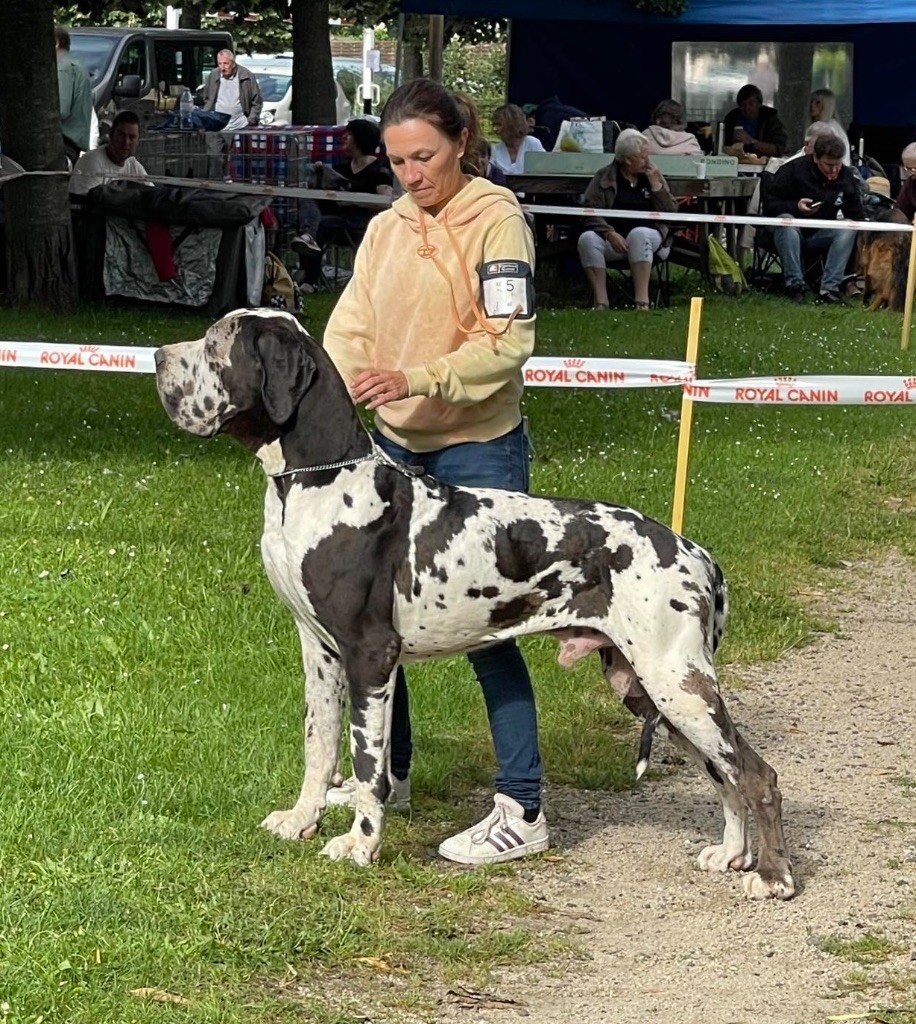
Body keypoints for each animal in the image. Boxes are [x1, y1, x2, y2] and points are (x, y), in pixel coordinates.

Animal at [155, 307, 794, 901]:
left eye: (217, 342)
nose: (159, 356)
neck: (317, 480)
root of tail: (699, 554)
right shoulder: (319, 650)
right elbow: (320, 744)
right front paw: (302, 820)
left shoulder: (369, 653)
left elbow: (366, 761)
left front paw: (361, 844)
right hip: (647, 685)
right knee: (722, 771)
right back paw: (731, 853)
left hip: (676, 680)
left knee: (755, 773)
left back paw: (772, 877)